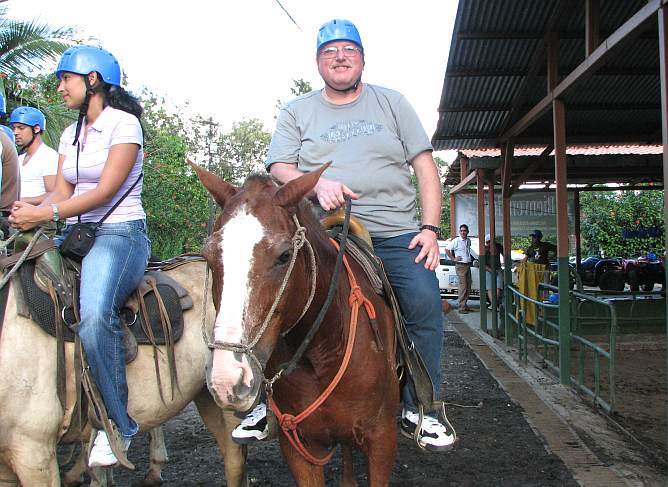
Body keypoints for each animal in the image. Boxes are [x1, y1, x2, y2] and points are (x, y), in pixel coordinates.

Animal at [190, 164, 400, 487]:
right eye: (209, 257)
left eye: (284, 255)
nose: (228, 379)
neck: (324, 349)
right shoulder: (299, 447)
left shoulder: (382, 440)